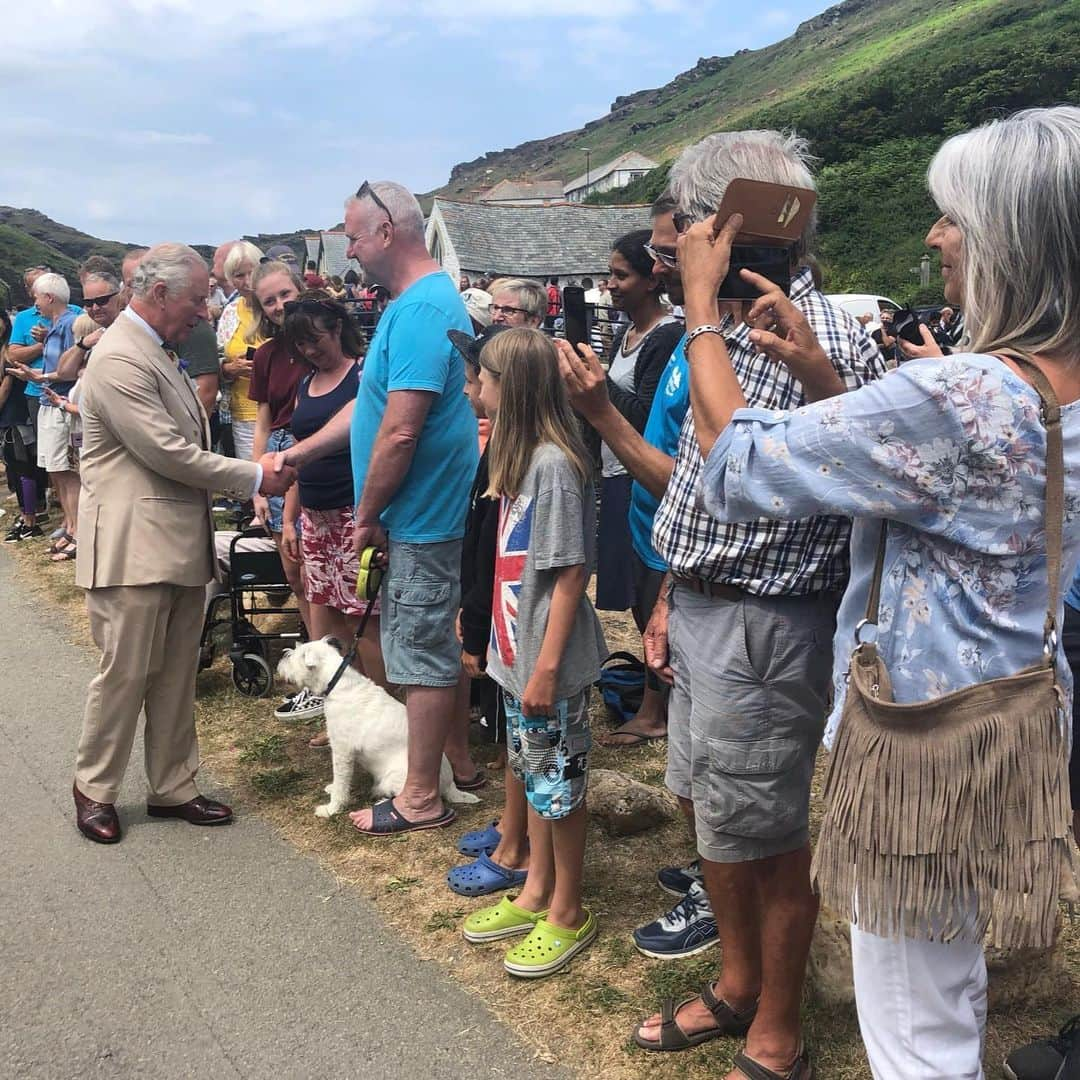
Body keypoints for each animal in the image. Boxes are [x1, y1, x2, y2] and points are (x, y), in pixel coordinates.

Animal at [276, 630, 479, 816]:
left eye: (295, 655)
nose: (281, 659)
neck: (337, 682)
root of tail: (450, 785)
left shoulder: (342, 752)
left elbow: (341, 782)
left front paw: (331, 809)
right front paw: (332, 790)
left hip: (396, 778)